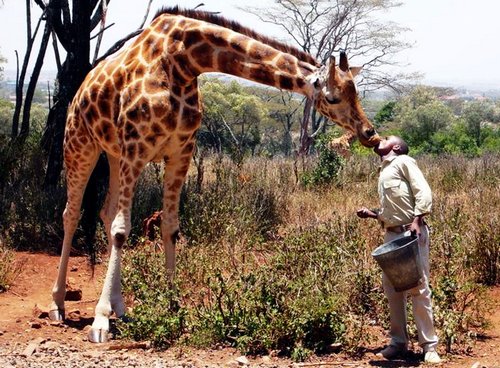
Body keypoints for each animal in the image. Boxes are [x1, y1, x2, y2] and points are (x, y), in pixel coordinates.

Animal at [48, 7, 380, 344]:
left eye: (357, 92)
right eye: (334, 97)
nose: (369, 133)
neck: (184, 61)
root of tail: (80, 89)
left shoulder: (180, 153)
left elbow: (170, 227)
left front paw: (173, 308)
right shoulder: (136, 148)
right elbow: (121, 229)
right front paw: (100, 320)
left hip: (114, 155)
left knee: (104, 211)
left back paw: (121, 308)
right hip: (80, 144)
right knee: (71, 213)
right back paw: (59, 303)